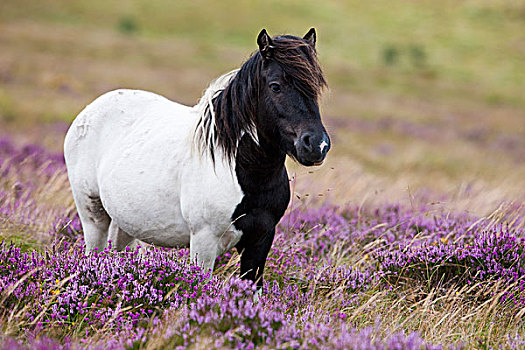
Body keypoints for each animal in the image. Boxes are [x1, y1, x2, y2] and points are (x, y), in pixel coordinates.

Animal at [63, 28, 328, 288]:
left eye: (315, 87)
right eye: (275, 86)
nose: (317, 145)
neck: (241, 170)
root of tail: (89, 110)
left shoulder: (260, 240)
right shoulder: (204, 242)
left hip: (124, 223)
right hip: (93, 216)